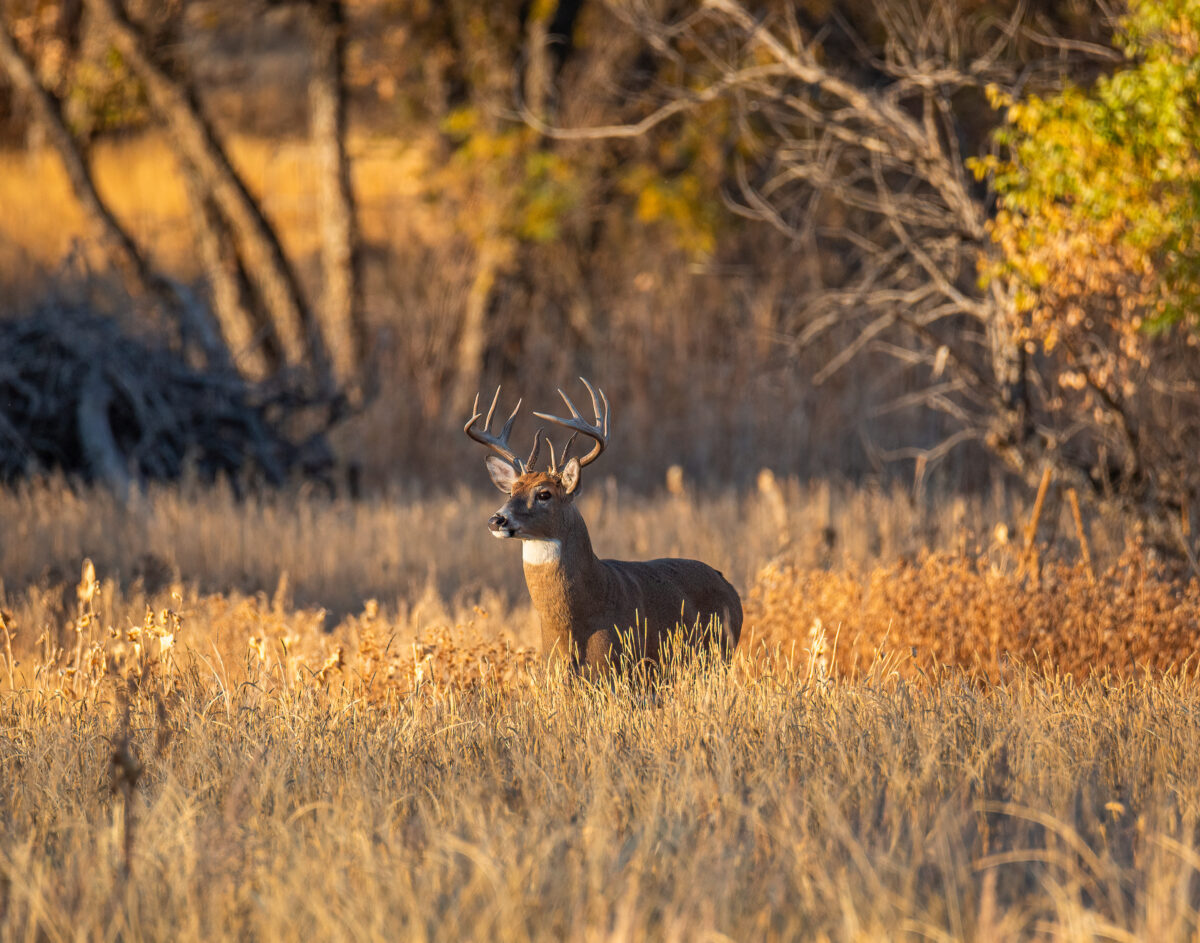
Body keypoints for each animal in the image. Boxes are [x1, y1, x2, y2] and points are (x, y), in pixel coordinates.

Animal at [465, 379, 739, 671]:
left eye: (544, 494)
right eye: (511, 491)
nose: (496, 520)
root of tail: (730, 588)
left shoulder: (621, 664)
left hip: (720, 653)